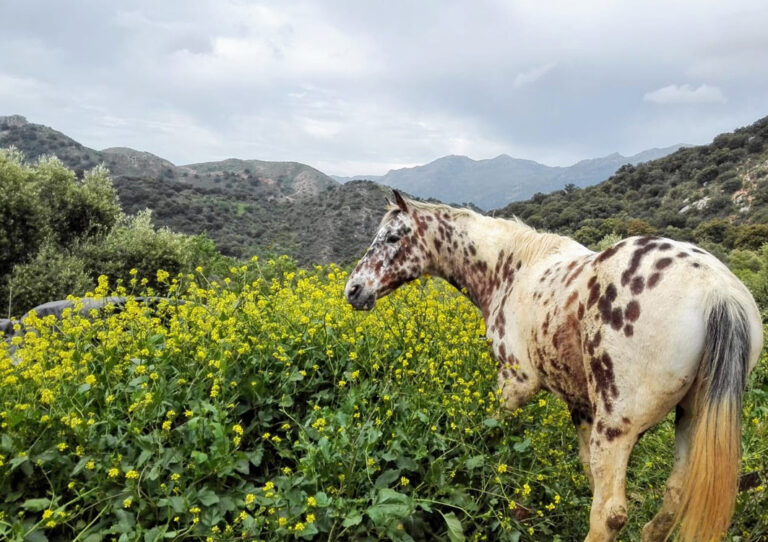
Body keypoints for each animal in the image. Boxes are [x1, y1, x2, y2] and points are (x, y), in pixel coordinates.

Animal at [346, 192, 760, 542]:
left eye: (393, 237)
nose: (353, 290)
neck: (511, 269)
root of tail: (717, 293)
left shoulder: (514, 384)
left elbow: (498, 440)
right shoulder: (580, 405)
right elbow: (587, 469)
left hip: (617, 427)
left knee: (610, 514)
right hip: (690, 415)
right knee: (674, 496)